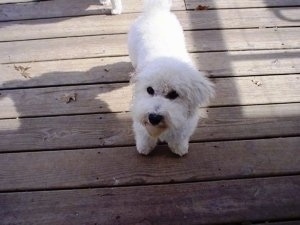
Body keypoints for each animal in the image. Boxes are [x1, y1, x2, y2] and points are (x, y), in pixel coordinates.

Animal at [127, 0, 214, 156]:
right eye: (149, 90)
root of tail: (156, 10)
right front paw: (144, 148)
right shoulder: (140, 111)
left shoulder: (185, 122)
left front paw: (180, 149)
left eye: (174, 94)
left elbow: (180, 137)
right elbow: (144, 135)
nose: (154, 118)